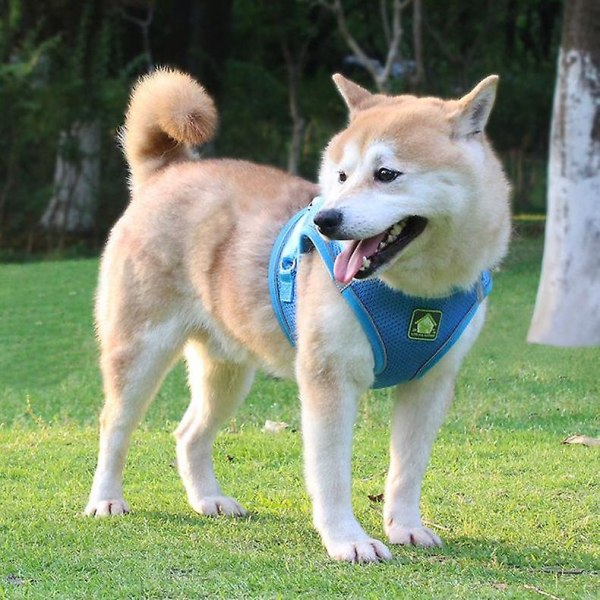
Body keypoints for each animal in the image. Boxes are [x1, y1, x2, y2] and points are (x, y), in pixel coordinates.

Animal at [85, 69, 510, 564]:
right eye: (341, 175)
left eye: (386, 174)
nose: (326, 219)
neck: (416, 292)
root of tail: (168, 172)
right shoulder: (329, 379)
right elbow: (331, 474)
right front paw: (347, 540)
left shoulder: (429, 384)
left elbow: (407, 469)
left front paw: (405, 527)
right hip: (140, 352)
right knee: (114, 425)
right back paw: (105, 499)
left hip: (226, 372)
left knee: (189, 433)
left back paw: (209, 499)